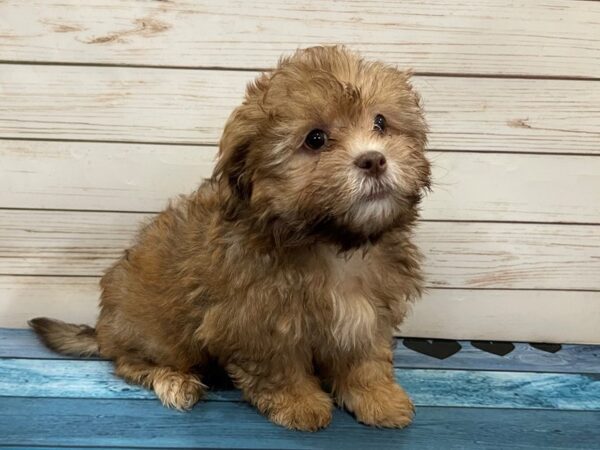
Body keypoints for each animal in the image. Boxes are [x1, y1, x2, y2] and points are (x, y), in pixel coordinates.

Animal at [29, 46, 432, 432]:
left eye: (380, 122)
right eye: (315, 139)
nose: (373, 160)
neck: (329, 242)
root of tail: (105, 329)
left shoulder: (368, 315)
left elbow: (365, 361)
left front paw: (379, 398)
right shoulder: (255, 322)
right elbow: (279, 369)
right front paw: (298, 403)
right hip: (158, 331)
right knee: (129, 362)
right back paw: (174, 381)